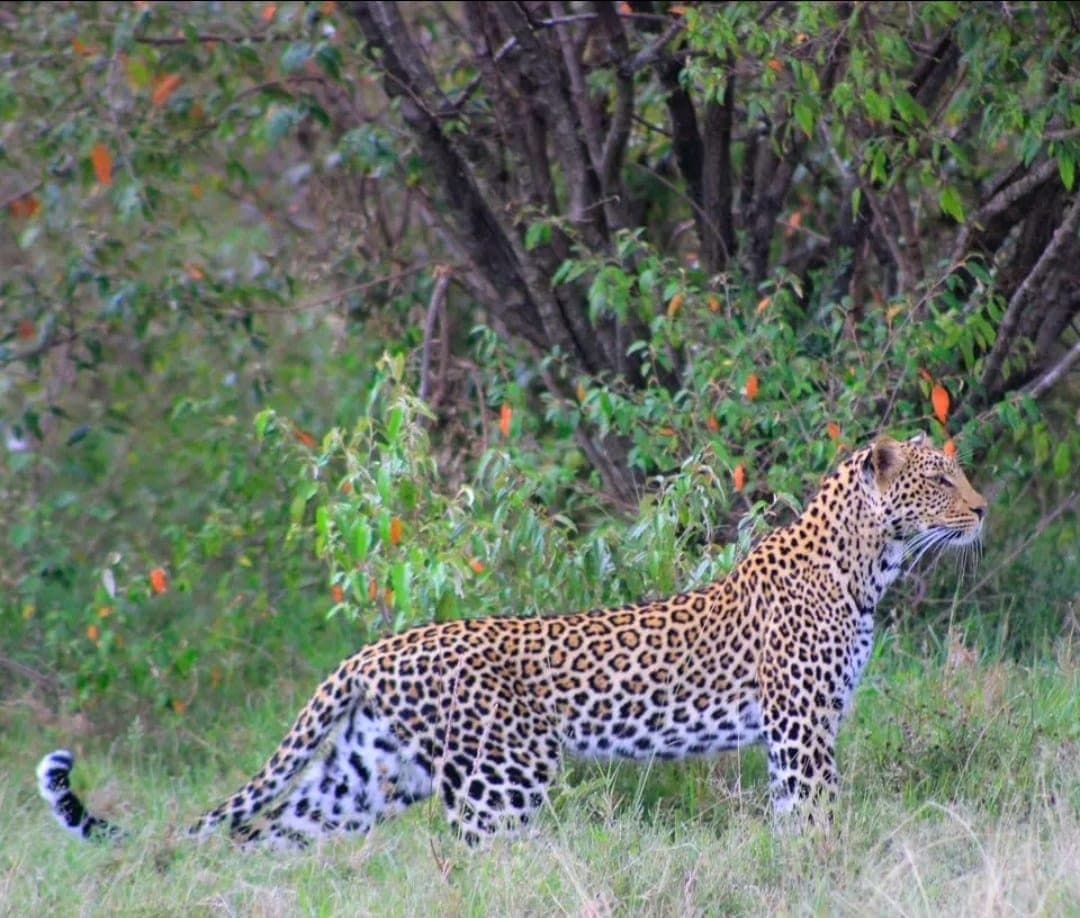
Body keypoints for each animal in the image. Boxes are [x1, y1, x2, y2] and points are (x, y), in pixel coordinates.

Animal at [37, 432, 987, 848]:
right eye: (940, 480)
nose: (982, 509)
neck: (870, 564)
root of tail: (375, 650)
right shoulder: (799, 726)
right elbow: (815, 814)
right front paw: (823, 871)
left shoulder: (796, 732)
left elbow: (796, 818)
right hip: (503, 778)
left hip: (368, 774)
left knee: (268, 836)